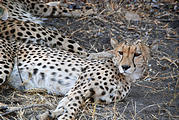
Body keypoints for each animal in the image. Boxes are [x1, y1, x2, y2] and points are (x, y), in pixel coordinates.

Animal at [4, 38, 150, 119]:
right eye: (120, 52)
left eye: (137, 54)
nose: (125, 66)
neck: (125, 77)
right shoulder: (80, 88)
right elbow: (72, 106)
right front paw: (64, 117)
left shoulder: (84, 94)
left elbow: (64, 104)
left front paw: (50, 114)